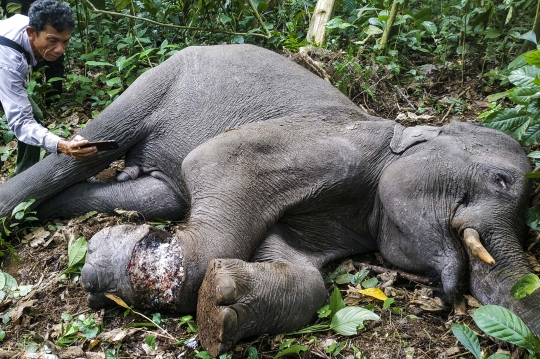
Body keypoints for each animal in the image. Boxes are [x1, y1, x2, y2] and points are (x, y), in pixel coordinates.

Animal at [0, 43, 536, 356]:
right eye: (501, 180)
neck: (394, 134)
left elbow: (301, 269)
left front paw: (224, 303)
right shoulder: (329, 143)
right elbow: (215, 159)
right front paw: (103, 261)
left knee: (161, 195)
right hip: (155, 83)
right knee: (91, 147)